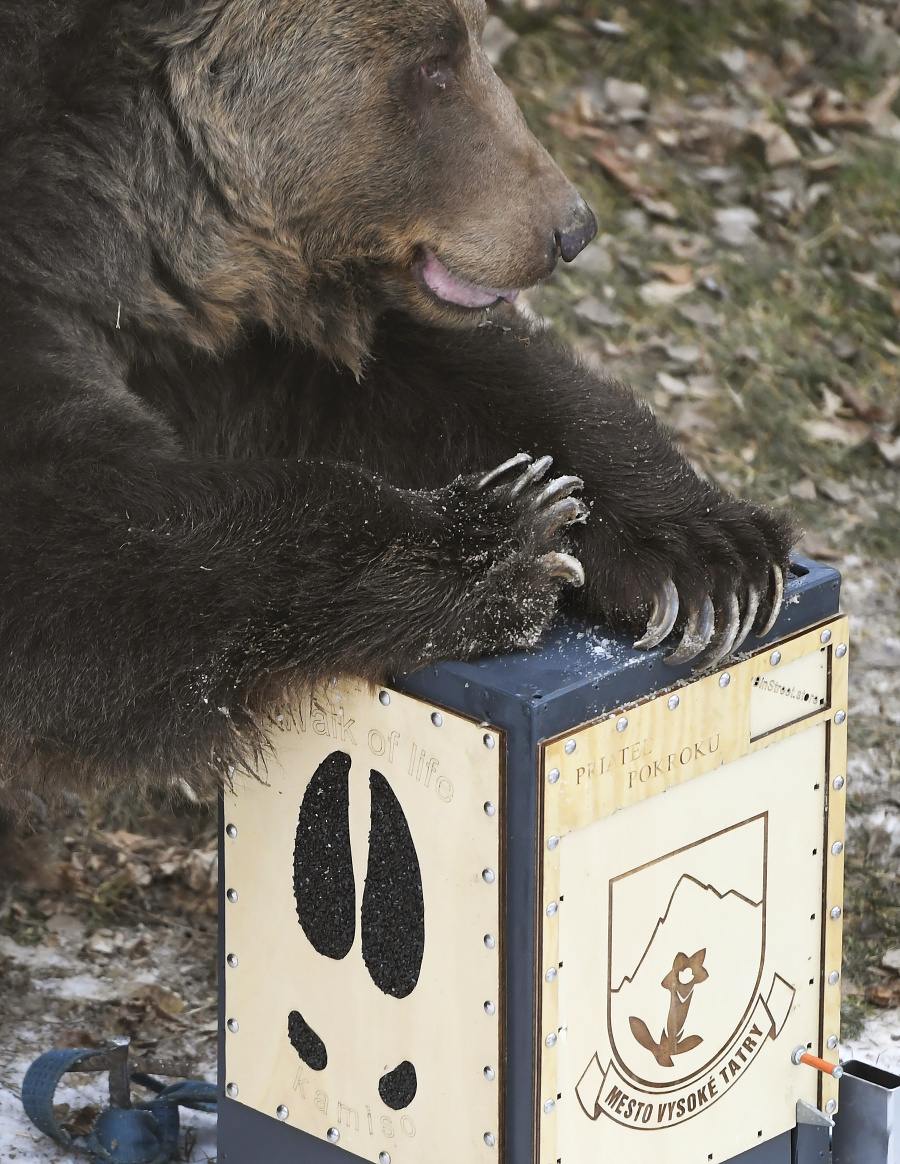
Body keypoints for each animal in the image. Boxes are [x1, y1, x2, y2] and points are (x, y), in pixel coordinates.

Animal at [0, 0, 791, 805]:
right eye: (434, 67)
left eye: (471, 39)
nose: (570, 228)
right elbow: (77, 527)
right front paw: (507, 534)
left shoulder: (217, 331)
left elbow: (435, 385)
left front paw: (711, 562)